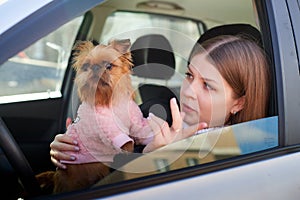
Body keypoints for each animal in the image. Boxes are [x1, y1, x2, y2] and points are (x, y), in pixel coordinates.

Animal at [36, 38, 152, 194]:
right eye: (86, 66)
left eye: (109, 66)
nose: (96, 68)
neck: (111, 101)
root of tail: (56, 177)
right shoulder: (109, 130)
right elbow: (126, 143)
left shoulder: (135, 122)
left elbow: (142, 130)